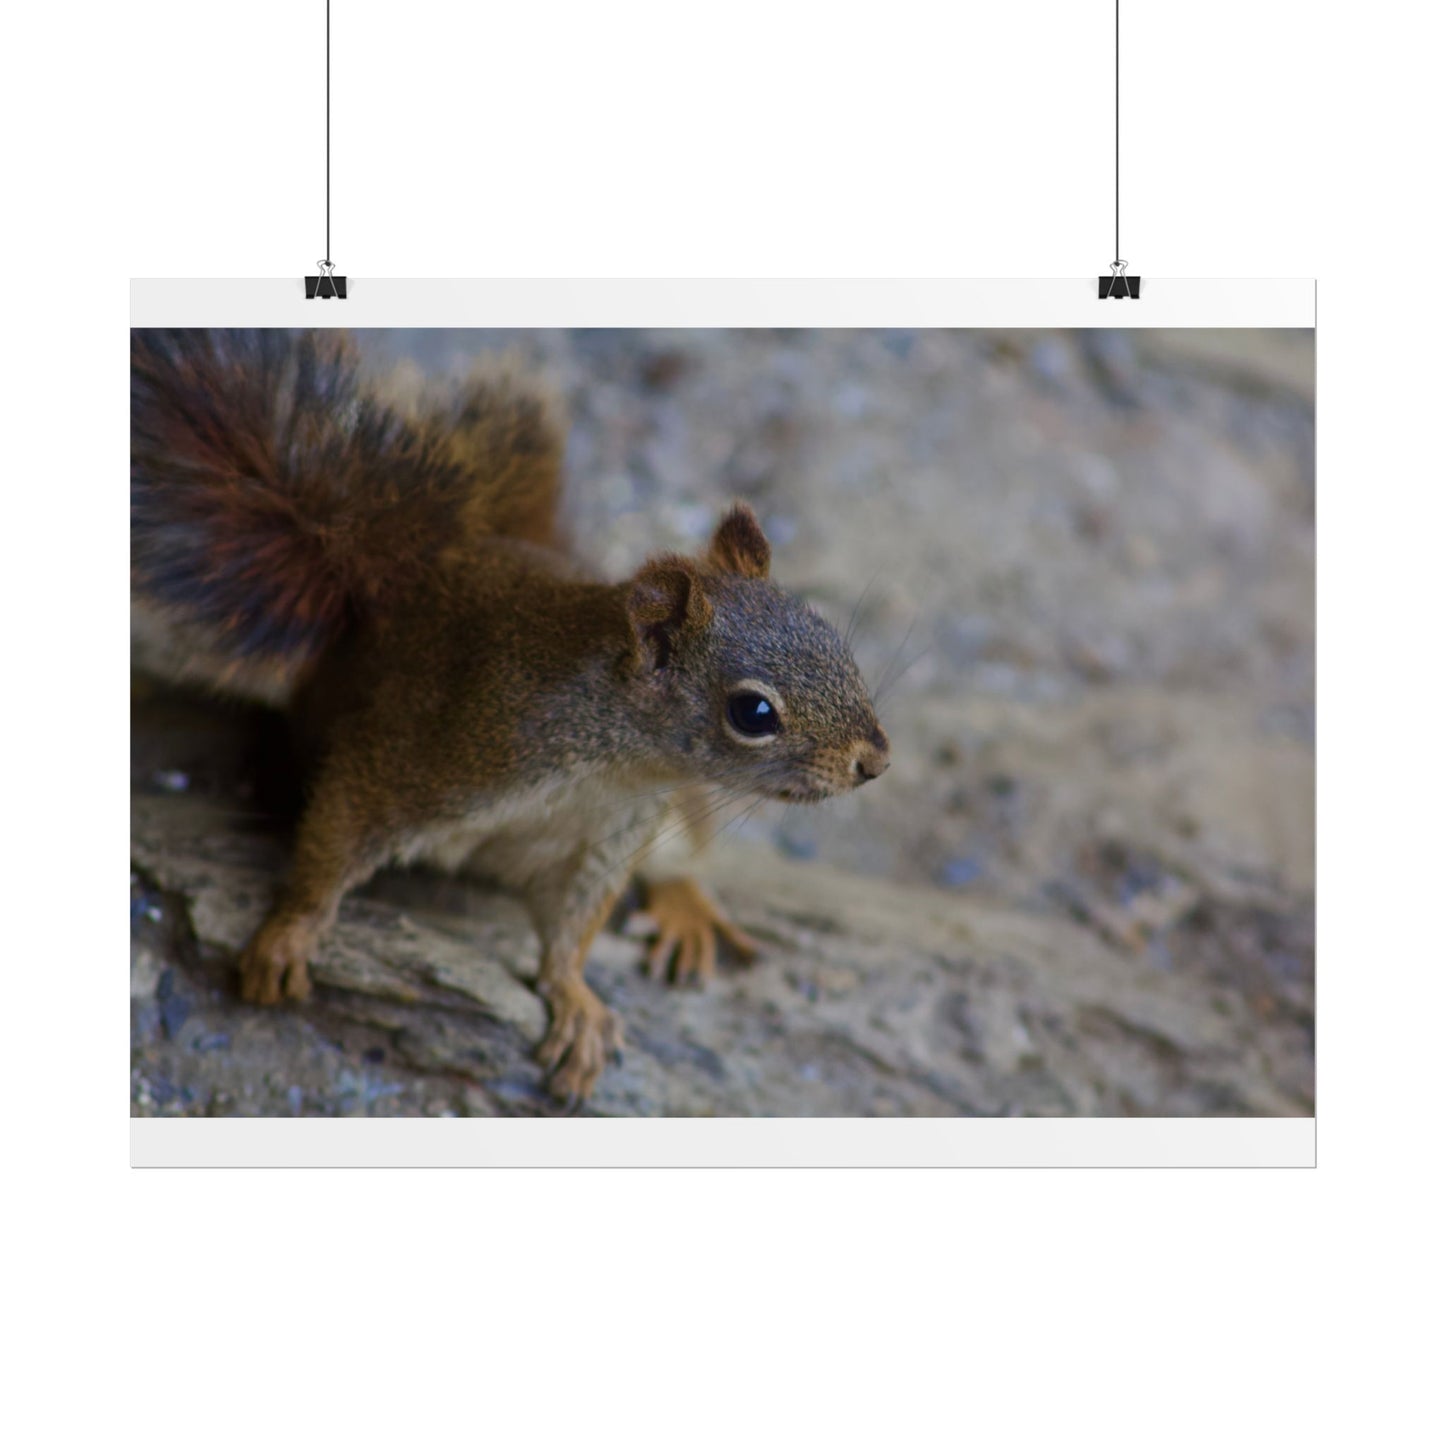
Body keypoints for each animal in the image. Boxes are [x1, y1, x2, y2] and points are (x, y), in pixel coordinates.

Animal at [131, 329, 890, 1104]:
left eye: (828, 634)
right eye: (753, 711)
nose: (875, 760)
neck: (613, 760)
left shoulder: (611, 837)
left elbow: (573, 927)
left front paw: (576, 999)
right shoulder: (433, 751)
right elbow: (337, 835)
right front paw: (287, 936)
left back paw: (686, 908)